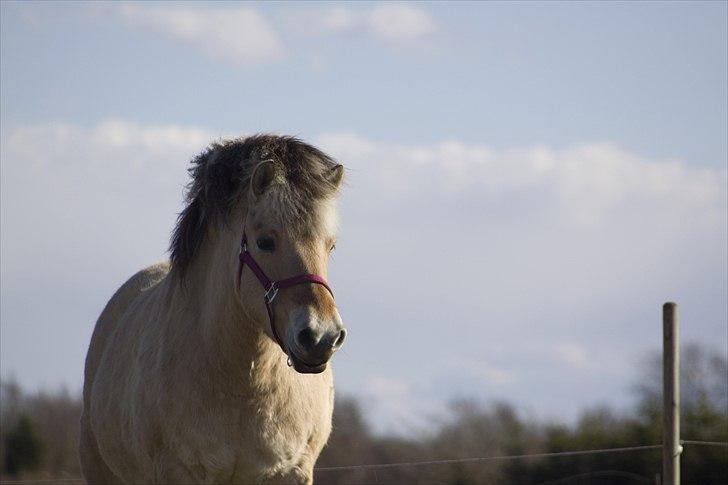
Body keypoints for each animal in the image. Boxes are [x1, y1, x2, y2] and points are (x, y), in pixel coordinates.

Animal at [81, 133, 348, 484]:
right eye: (265, 241)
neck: (241, 385)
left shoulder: (292, 472)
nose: (322, 338)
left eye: (330, 246)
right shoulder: (179, 472)